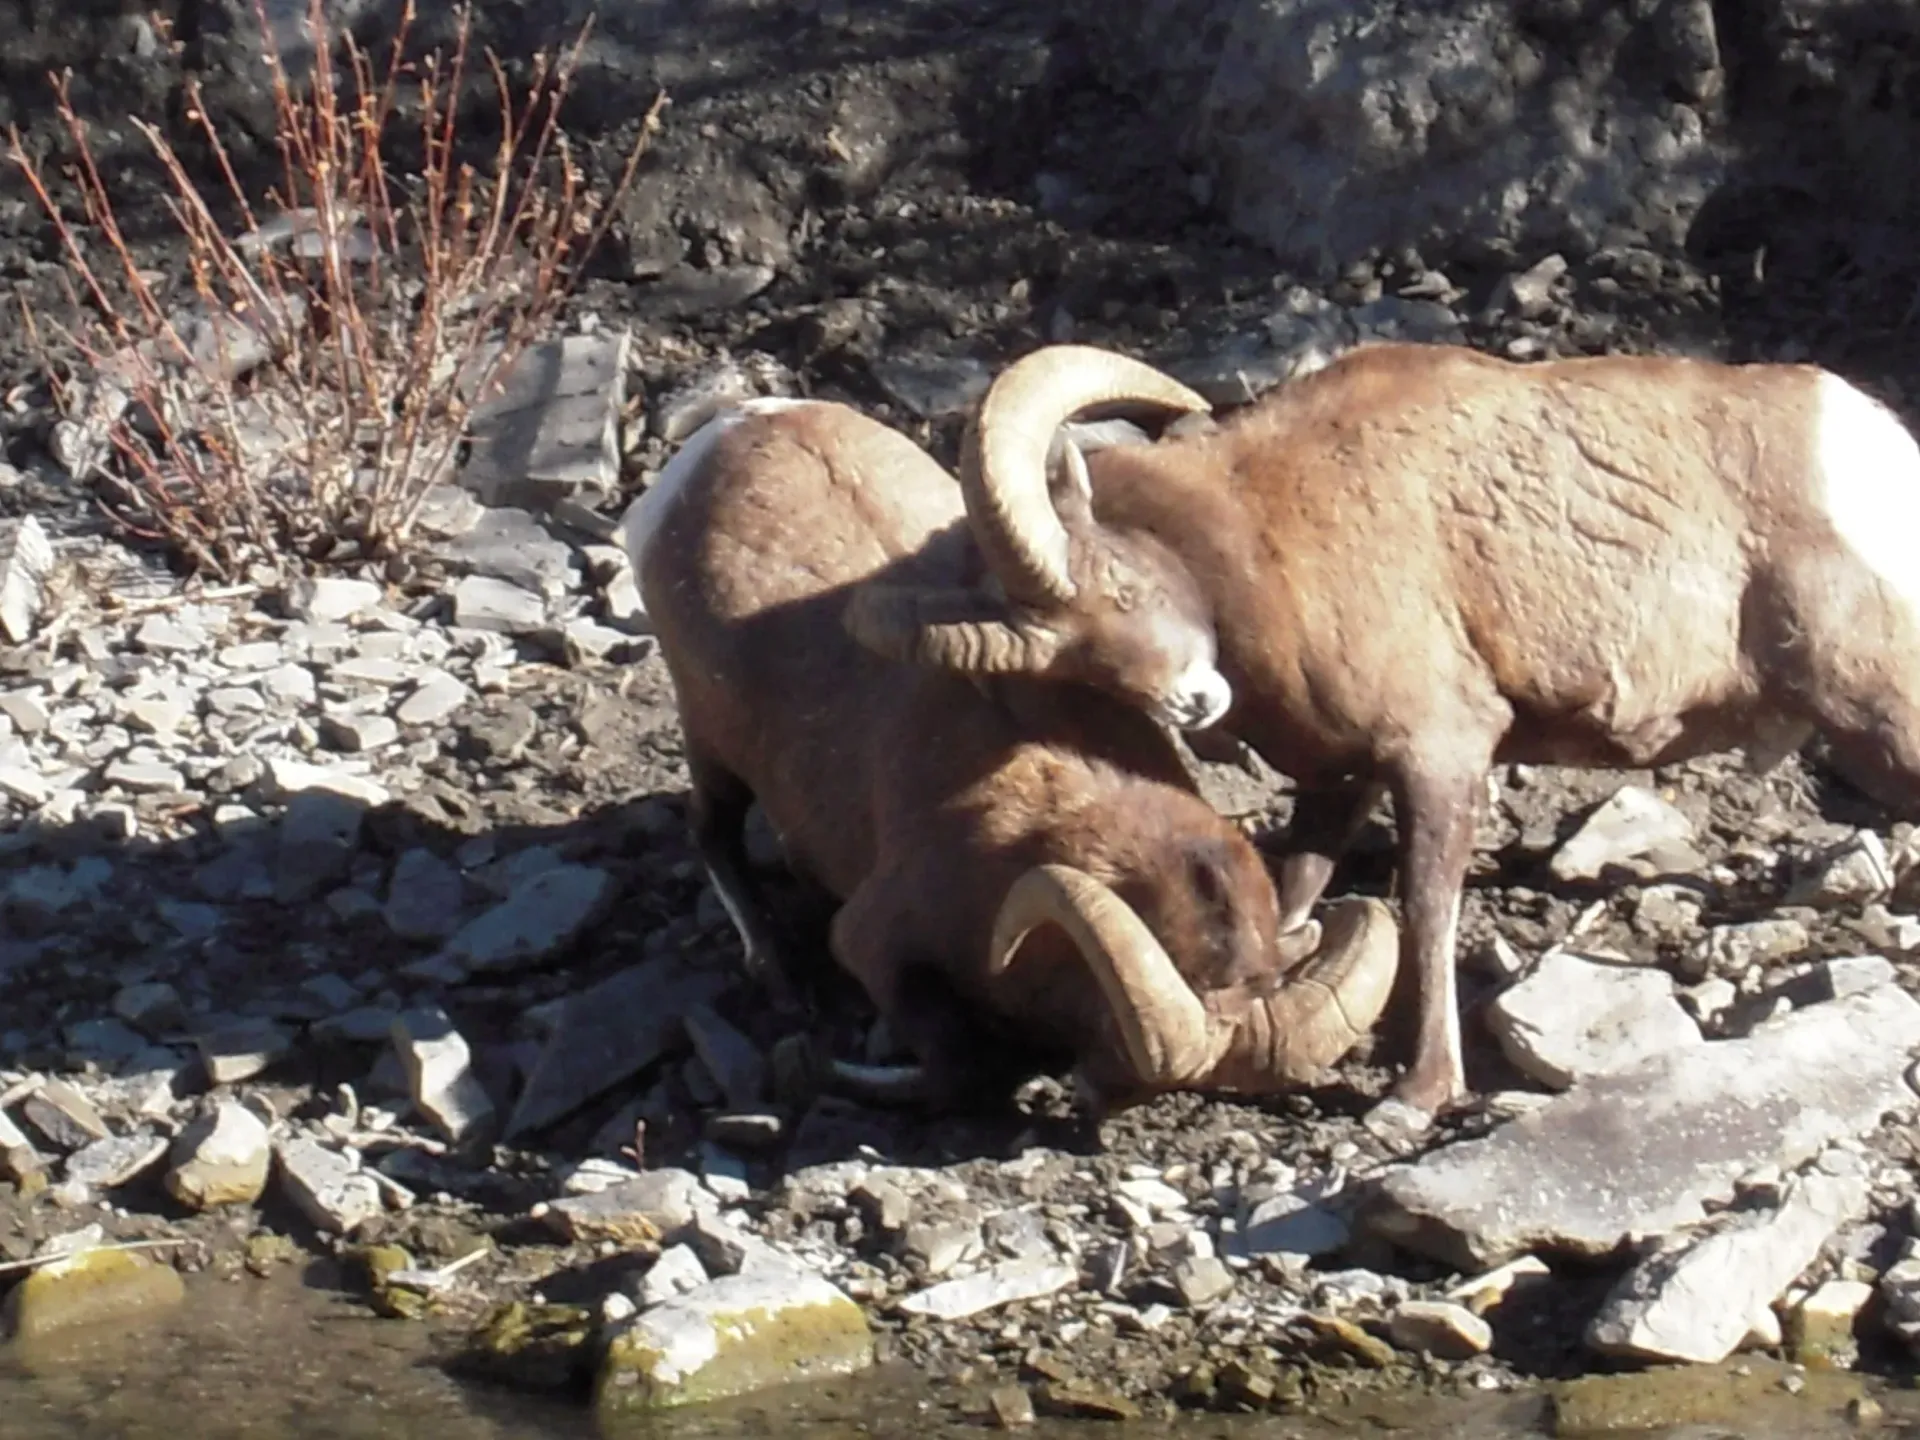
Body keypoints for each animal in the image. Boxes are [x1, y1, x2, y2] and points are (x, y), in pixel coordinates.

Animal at [618, 392, 1397, 1110]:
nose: (1092, 1092)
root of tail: (732, 428)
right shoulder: (874, 941)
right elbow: (959, 1066)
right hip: (709, 743)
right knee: (713, 831)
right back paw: (775, 969)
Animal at [848, 339, 1920, 1131]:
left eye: (1114, 586)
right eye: (1069, 664)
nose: (1192, 704)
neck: (1268, 531)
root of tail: (1875, 448)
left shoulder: (1440, 755)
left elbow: (1428, 909)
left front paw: (1415, 1097)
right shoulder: (1341, 780)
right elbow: (1297, 890)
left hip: (1877, 709)